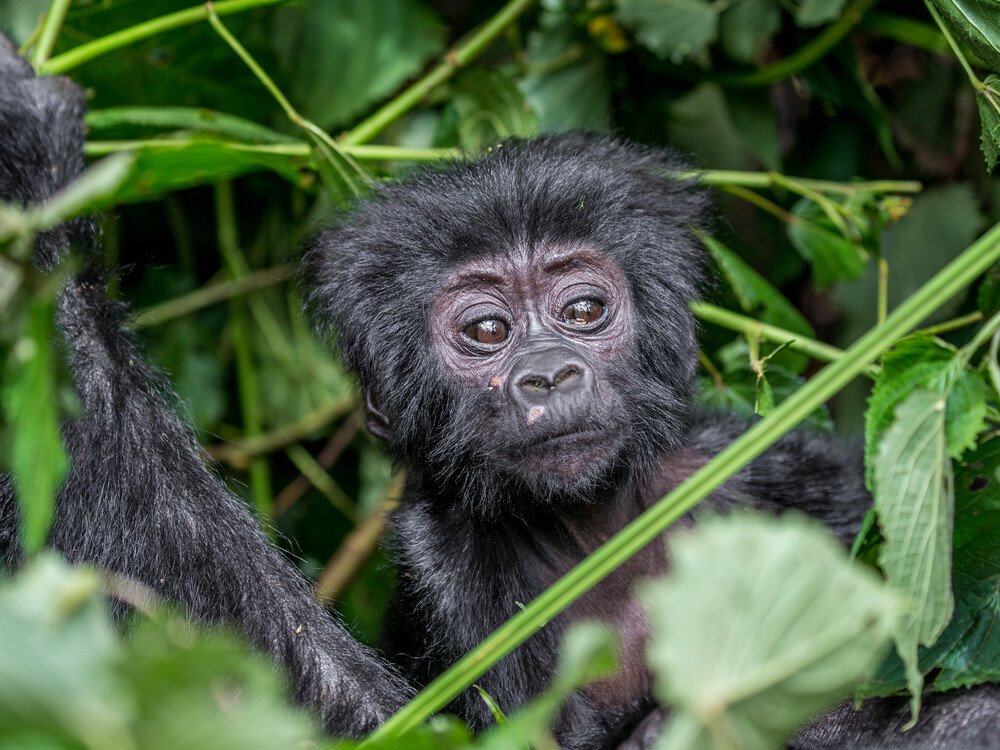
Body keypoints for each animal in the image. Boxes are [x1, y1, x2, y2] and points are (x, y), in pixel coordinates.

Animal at [303, 135, 1000, 749]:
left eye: (583, 311)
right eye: (487, 329)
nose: (548, 375)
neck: (596, 534)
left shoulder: (760, 466)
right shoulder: (443, 567)